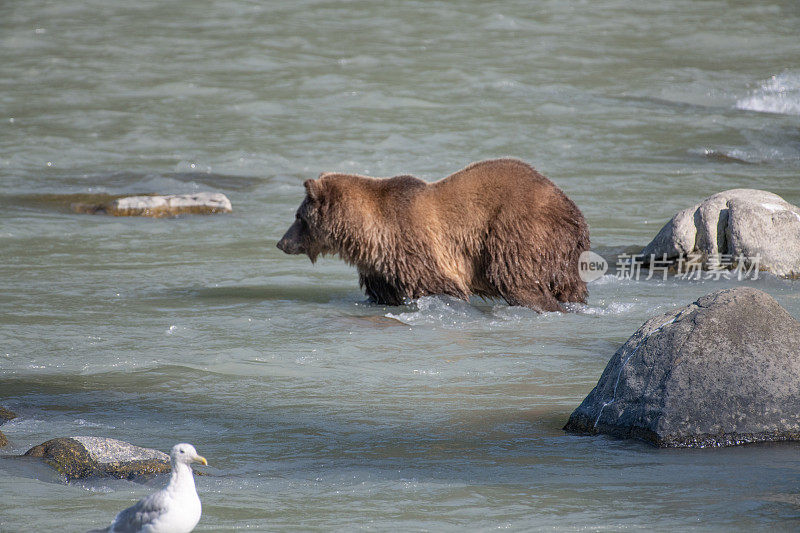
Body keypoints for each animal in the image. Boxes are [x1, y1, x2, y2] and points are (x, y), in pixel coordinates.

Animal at [278, 156, 592, 310]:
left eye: (298, 216)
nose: (282, 242)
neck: (367, 236)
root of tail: (573, 211)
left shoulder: (413, 245)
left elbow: (439, 286)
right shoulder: (381, 267)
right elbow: (382, 294)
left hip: (519, 230)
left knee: (516, 277)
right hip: (564, 255)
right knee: (570, 286)